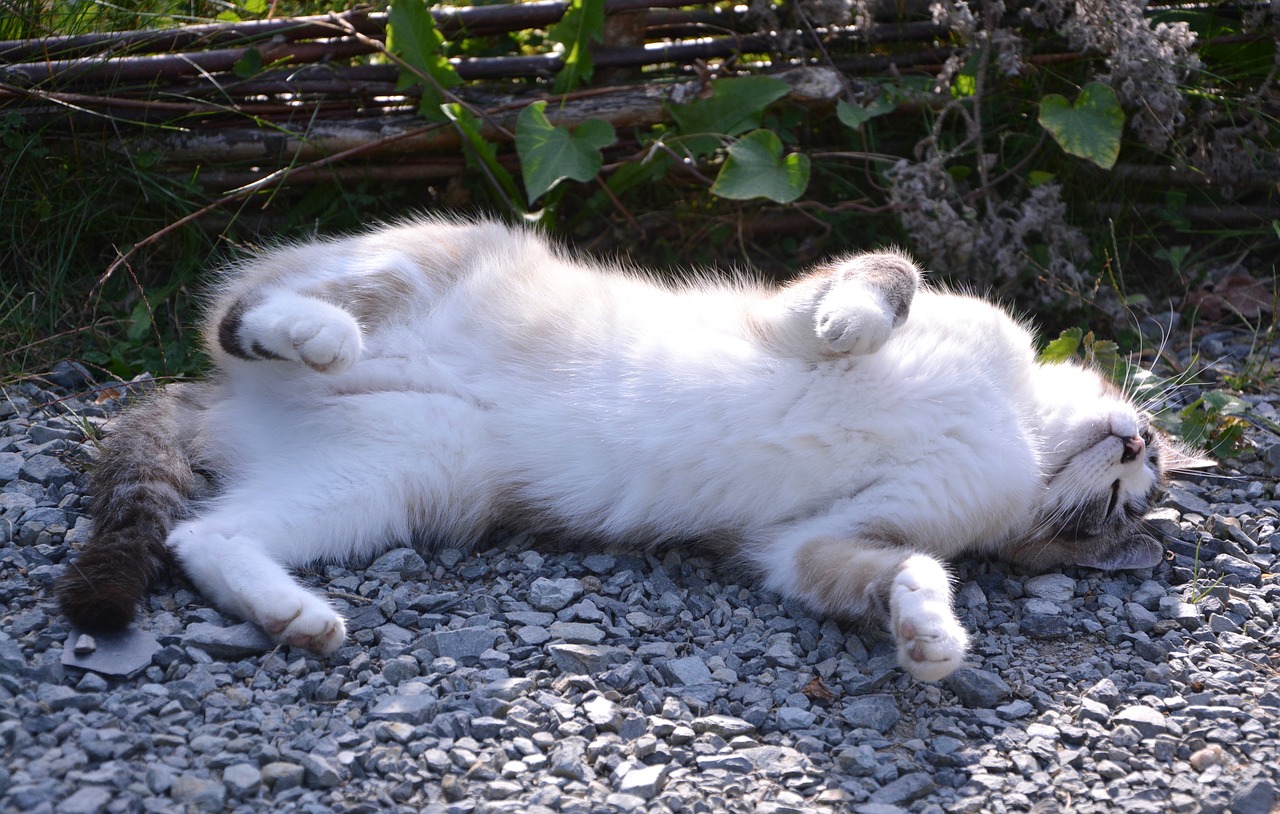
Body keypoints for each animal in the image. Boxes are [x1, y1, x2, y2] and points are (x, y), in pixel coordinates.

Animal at [52, 216, 1208, 680]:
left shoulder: (809, 542)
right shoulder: (791, 307)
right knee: (239, 310)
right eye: (1139, 472)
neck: (1011, 421)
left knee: (205, 536)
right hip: (427, 260)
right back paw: (315, 334)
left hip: (399, 478)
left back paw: (296, 616)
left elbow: (905, 568)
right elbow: (881, 277)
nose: (1135, 438)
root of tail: (227, 400)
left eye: (1122, 503)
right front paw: (852, 325)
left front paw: (930, 640)